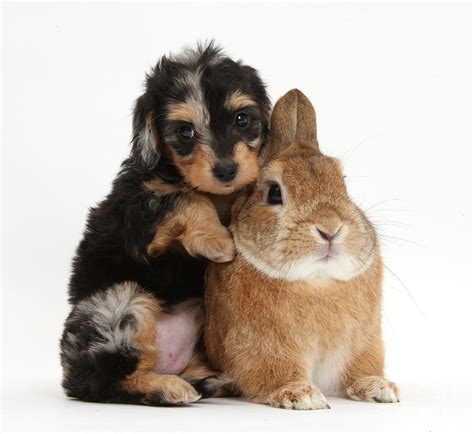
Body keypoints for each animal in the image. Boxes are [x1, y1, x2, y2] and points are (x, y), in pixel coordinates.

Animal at [60, 42, 270, 406]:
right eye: (185, 131)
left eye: (242, 119)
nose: (226, 170)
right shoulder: (137, 214)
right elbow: (184, 197)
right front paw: (217, 240)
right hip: (118, 304)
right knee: (101, 380)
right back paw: (168, 388)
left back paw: (214, 380)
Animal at [204, 89, 400, 410]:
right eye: (274, 193)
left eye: (343, 183)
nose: (330, 228)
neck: (317, 281)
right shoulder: (259, 347)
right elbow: (275, 371)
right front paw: (301, 395)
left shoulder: (362, 343)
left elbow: (359, 369)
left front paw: (379, 387)